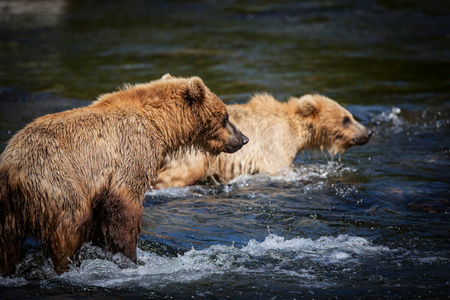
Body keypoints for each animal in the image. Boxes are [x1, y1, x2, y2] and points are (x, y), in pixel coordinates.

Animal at [0, 74, 250, 276]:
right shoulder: (131, 151)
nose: (243, 138)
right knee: (71, 222)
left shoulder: (100, 185)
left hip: (7, 211)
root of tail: (12, 172)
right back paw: (66, 266)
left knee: (7, 246)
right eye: (225, 116)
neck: (160, 125)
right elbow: (124, 204)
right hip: (55, 180)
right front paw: (129, 257)